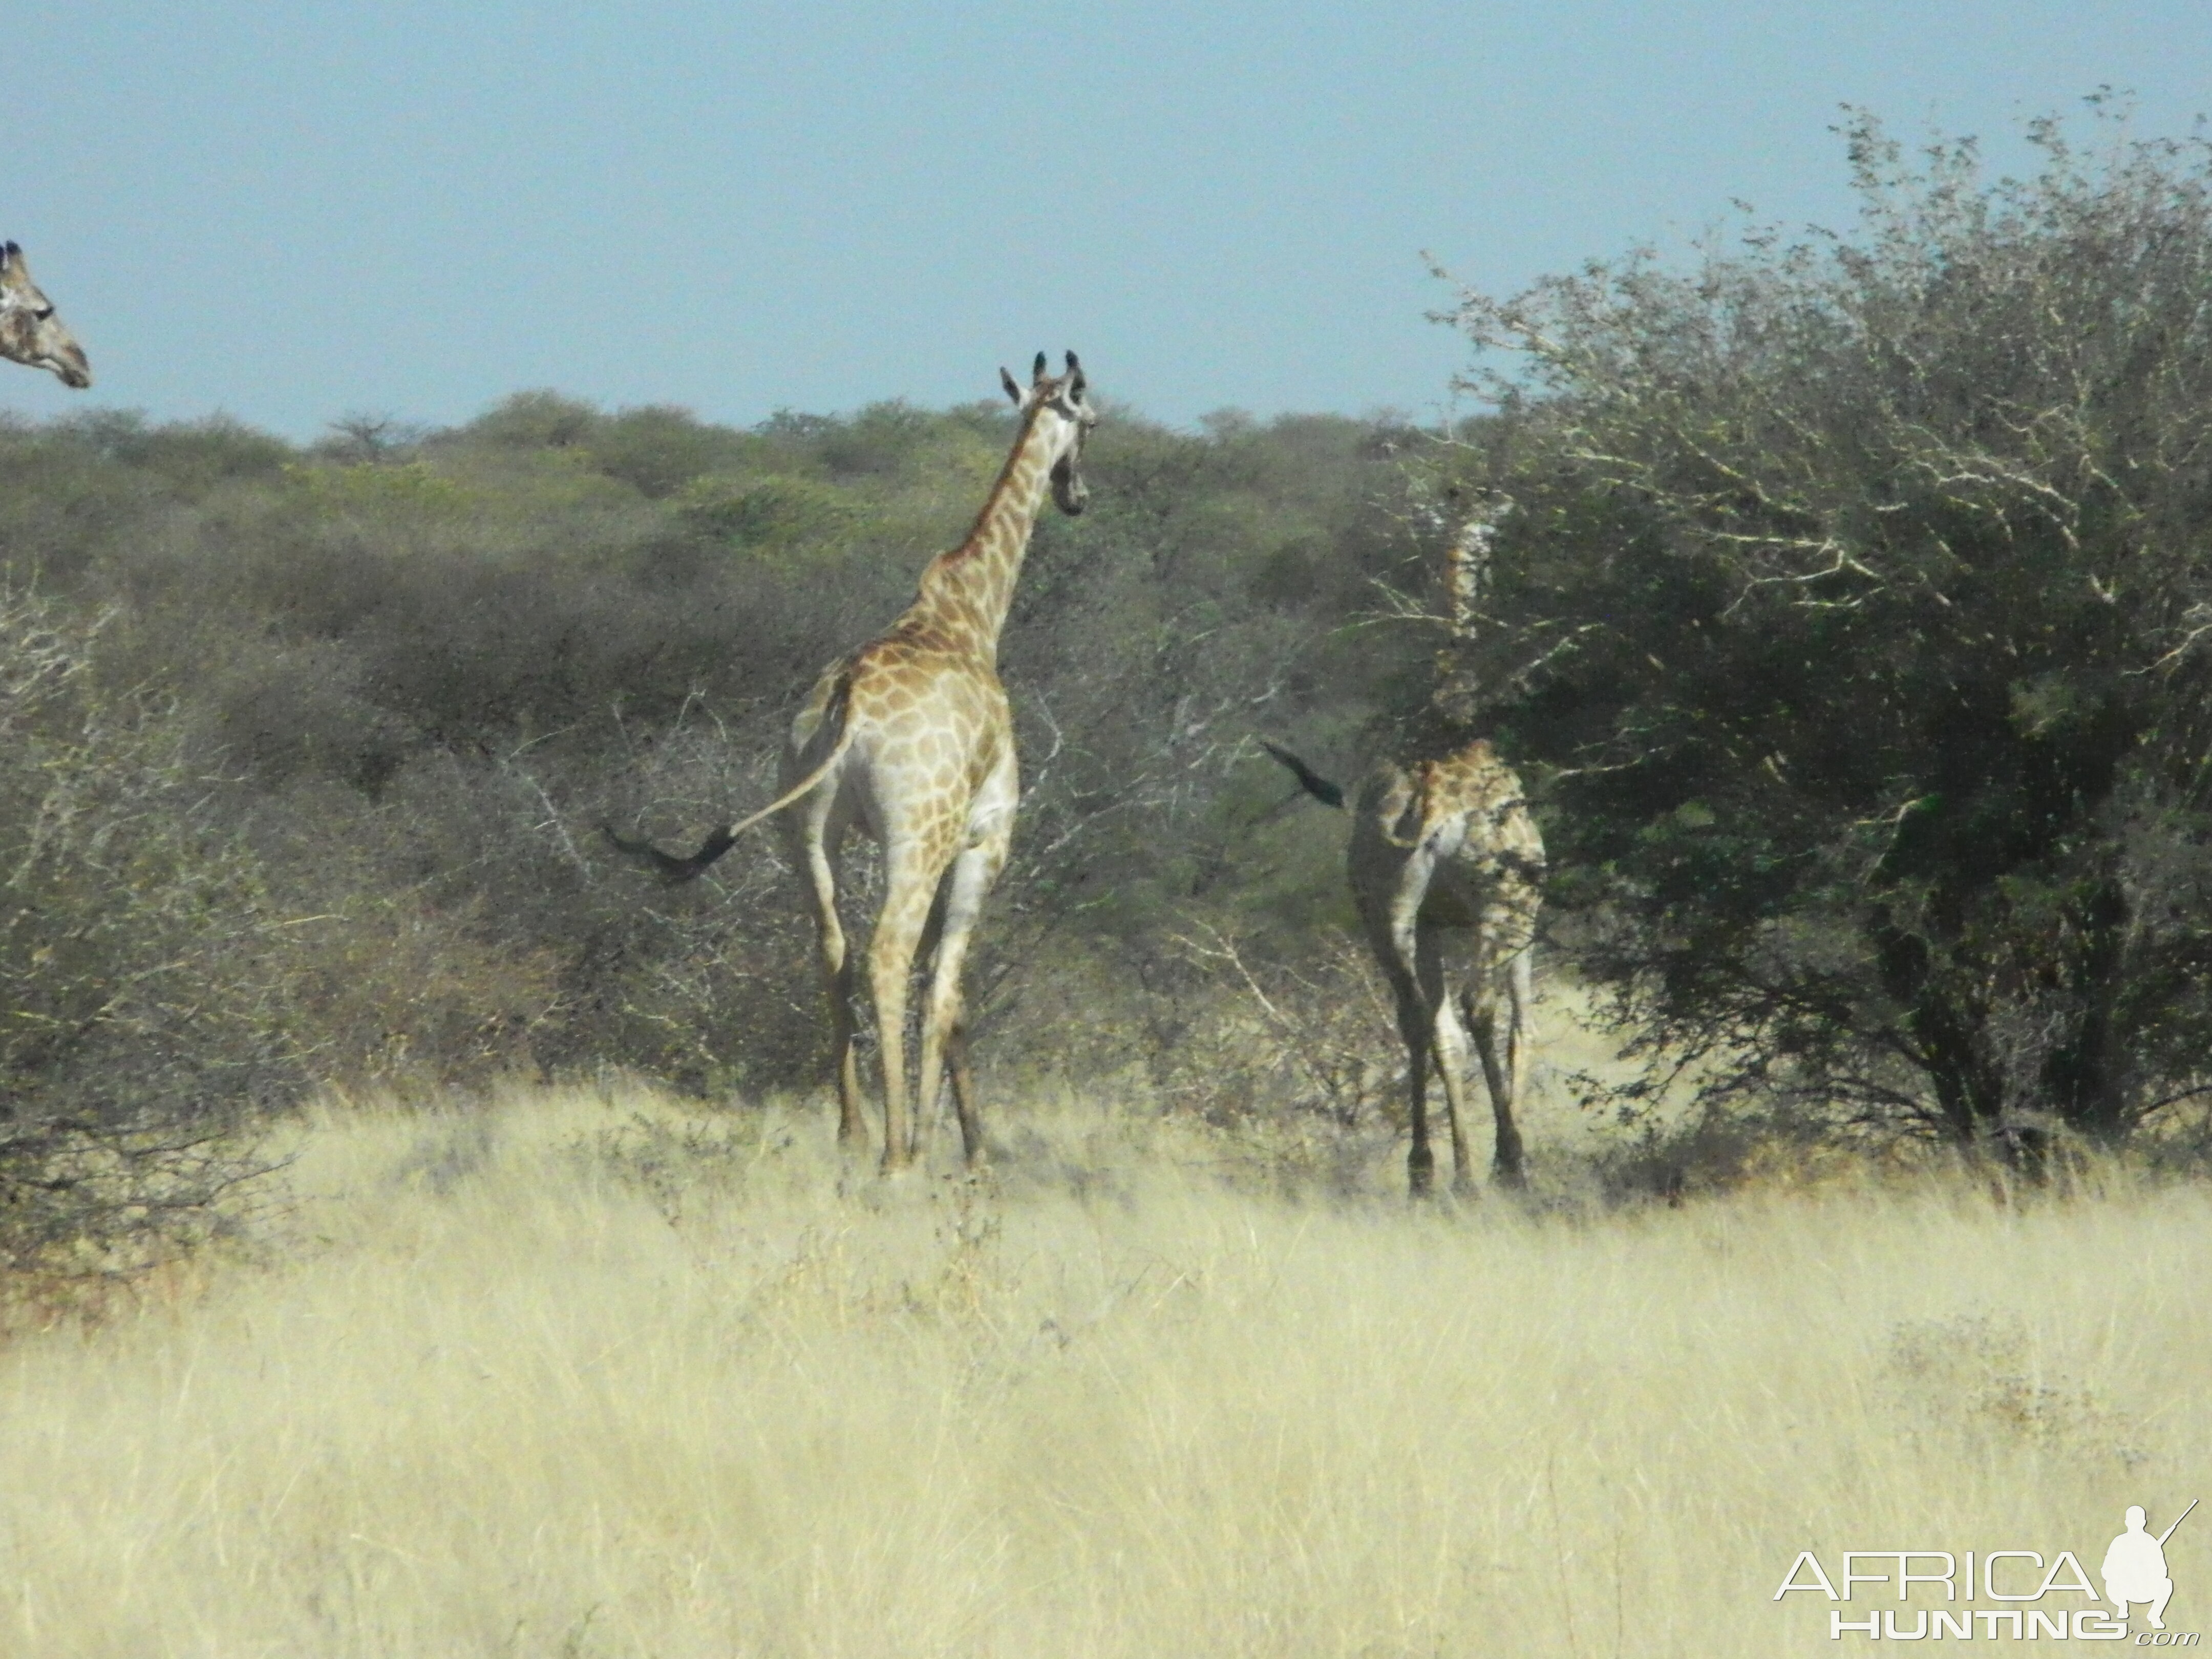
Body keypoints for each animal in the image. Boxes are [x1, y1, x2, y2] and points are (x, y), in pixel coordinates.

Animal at [606, 351, 1097, 1177]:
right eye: (1092, 423)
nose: (1078, 496)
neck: (970, 617)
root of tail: (849, 707)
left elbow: (947, 991)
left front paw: (967, 1146)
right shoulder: (984, 837)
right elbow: (946, 987)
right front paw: (958, 1150)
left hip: (807, 828)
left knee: (831, 951)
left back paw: (853, 1133)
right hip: (915, 833)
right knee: (886, 956)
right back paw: (897, 1153)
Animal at [1265, 493, 1539, 1194]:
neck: (1453, 715)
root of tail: (1430, 806)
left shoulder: (1435, 920)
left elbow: (1443, 1029)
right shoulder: (1526, 915)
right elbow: (1522, 1025)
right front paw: (1512, 1156)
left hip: (1383, 909)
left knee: (1419, 1019)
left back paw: (1431, 1171)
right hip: (1495, 907)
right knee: (1478, 1008)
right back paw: (1505, 1162)